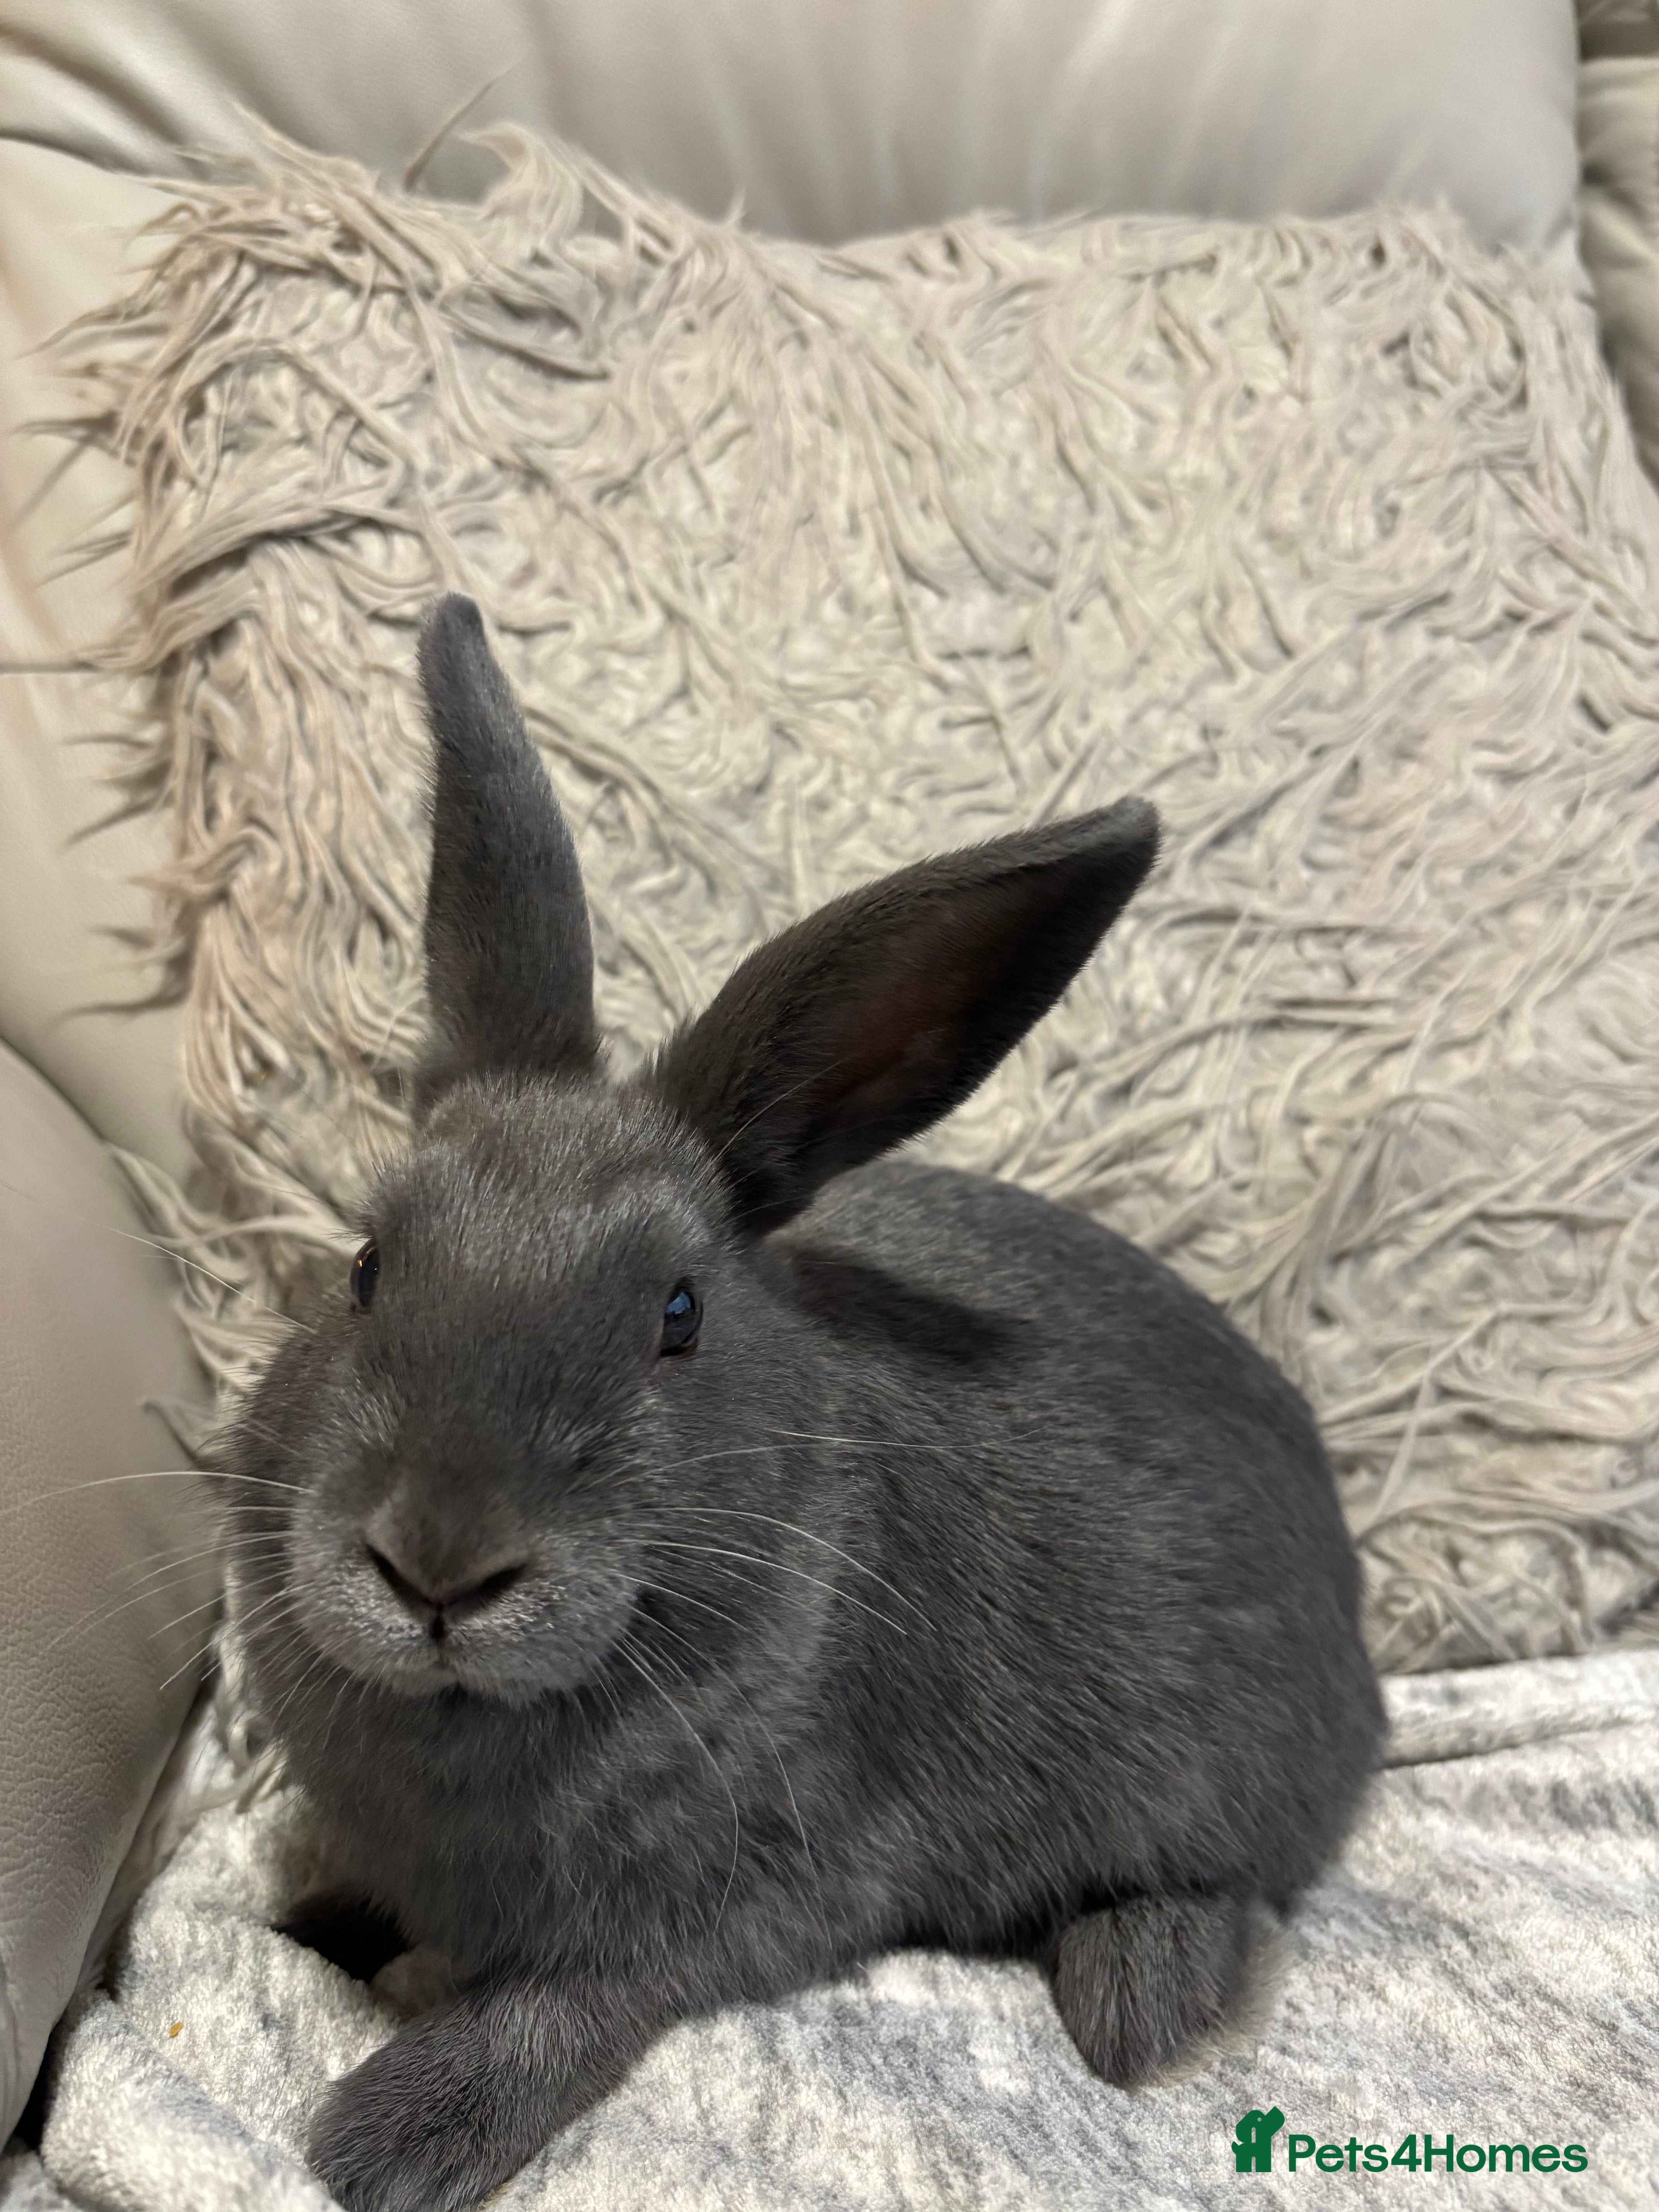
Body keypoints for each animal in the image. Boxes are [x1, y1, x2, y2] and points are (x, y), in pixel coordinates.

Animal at [223, 593, 1386, 2212]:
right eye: (365, 1266)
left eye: (677, 1317)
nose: (436, 1566)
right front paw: (306, 1919)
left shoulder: (760, 1887)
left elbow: (565, 2002)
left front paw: (386, 2140)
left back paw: (1146, 1995)